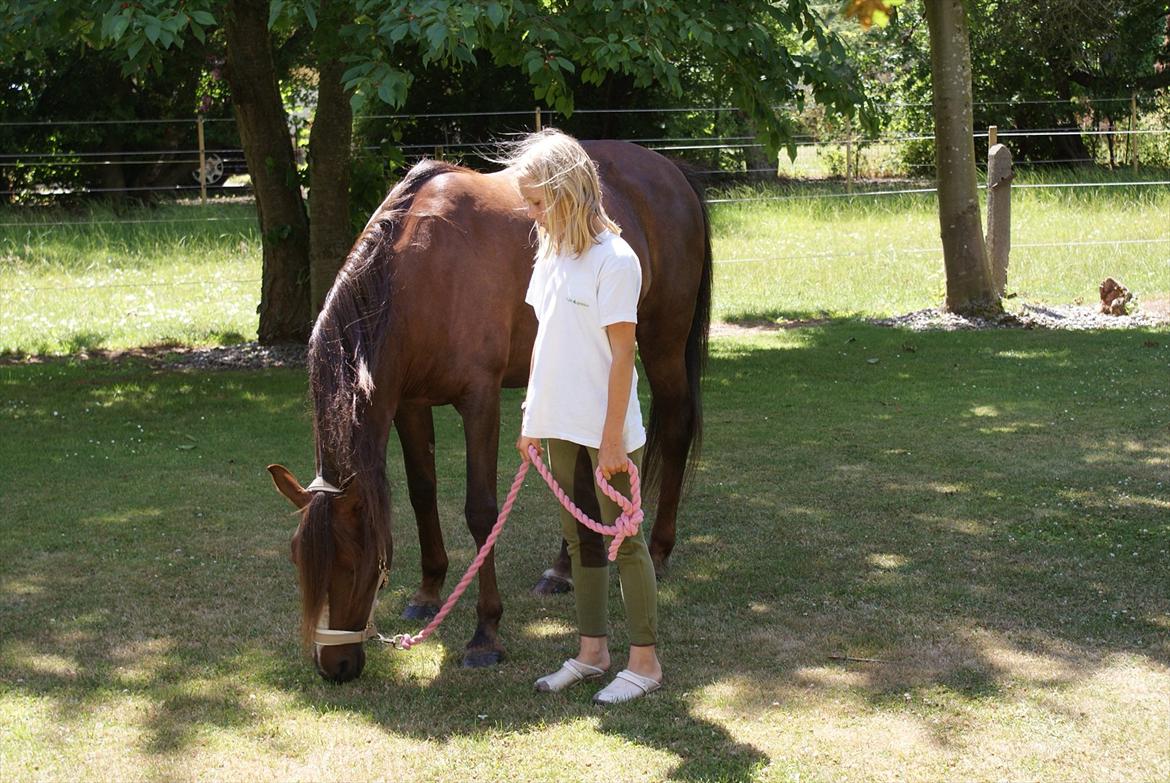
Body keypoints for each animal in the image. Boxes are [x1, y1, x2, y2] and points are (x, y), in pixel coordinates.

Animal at [267, 140, 706, 678]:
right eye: (296, 558)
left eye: (355, 560)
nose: (336, 666)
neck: (420, 273)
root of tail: (671, 170)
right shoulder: (409, 404)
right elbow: (423, 494)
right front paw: (428, 592)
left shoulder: (480, 402)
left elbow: (481, 511)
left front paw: (485, 633)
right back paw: (563, 569)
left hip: (663, 344)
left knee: (677, 429)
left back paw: (660, 551)